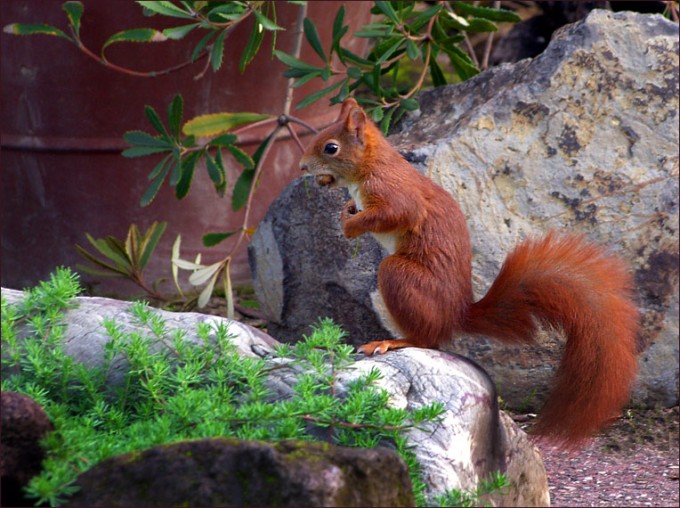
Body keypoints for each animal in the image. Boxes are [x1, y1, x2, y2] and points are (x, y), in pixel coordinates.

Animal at [299, 97, 639, 447]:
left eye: (330, 147)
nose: (302, 167)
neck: (371, 165)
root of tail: (456, 313)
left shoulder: (393, 191)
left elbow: (396, 212)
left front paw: (349, 223)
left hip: (399, 276)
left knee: (428, 339)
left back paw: (392, 342)